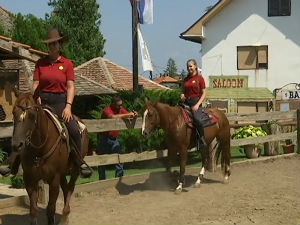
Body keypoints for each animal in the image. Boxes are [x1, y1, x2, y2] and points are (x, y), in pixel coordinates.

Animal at [11, 92, 89, 224]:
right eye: (13, 112)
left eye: (32, 115)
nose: (17, 144)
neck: (40, 148)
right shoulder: (29, 179)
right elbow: (33, 210)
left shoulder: (54, 179)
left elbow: (51, 209)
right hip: (62, 173)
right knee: (65, 187)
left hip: (74, 170)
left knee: (70, 188)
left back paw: (65, 216)